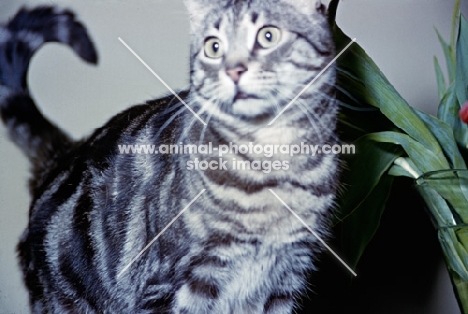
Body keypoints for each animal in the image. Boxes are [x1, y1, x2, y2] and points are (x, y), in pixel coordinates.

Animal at [0, 0, 336, 312]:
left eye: (268, 36)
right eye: (214, 47)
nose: (234, 70)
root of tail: (63, 154)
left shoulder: (288, 277)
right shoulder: (169, 282)